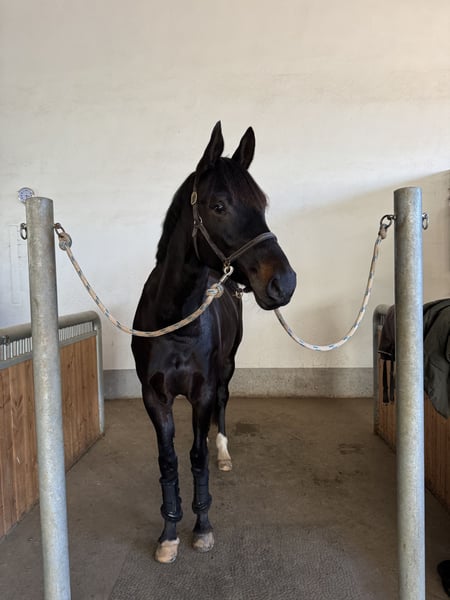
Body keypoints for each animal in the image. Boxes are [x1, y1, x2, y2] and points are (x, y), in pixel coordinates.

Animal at [131, 122, 296, 563]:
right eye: (219, 206)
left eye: (262, 204)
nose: (284, 283)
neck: (175, 323)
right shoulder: (154, 398)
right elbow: (169, 461)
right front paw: (169, 533)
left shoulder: (202, 391)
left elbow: (198, 458)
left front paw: (202, 526)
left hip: (227, 367)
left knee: (222, 405)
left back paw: (223, 452)